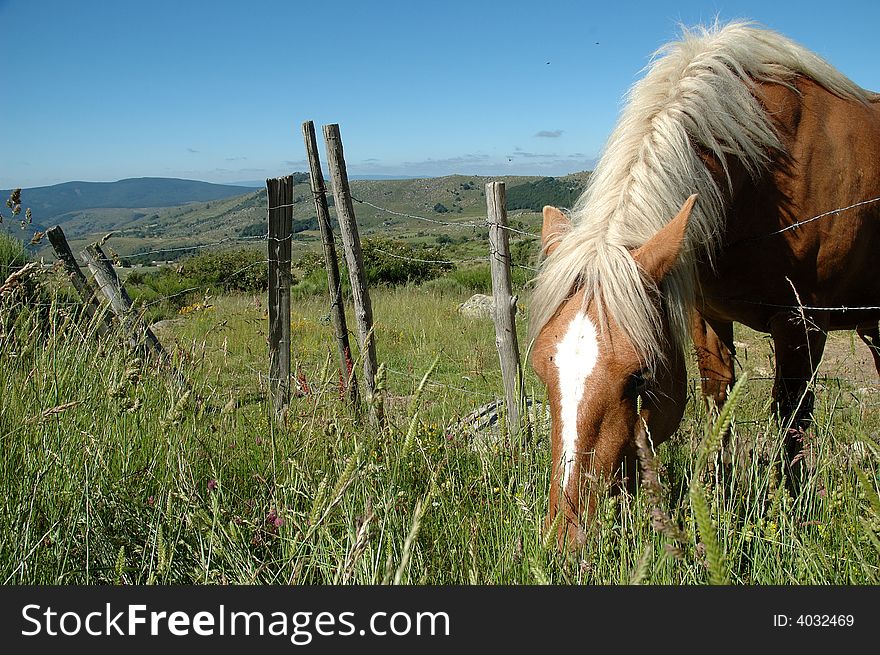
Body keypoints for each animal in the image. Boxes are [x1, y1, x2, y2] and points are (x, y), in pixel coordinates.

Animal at [528, 21, 880, 548]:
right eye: (540, 371)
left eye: (640, 378)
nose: (566, 537)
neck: (766, 170)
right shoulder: (706, 316)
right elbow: (720, 401)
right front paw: (718, 492)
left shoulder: (801, 324)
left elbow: (793, 419)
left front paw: (795, 515)